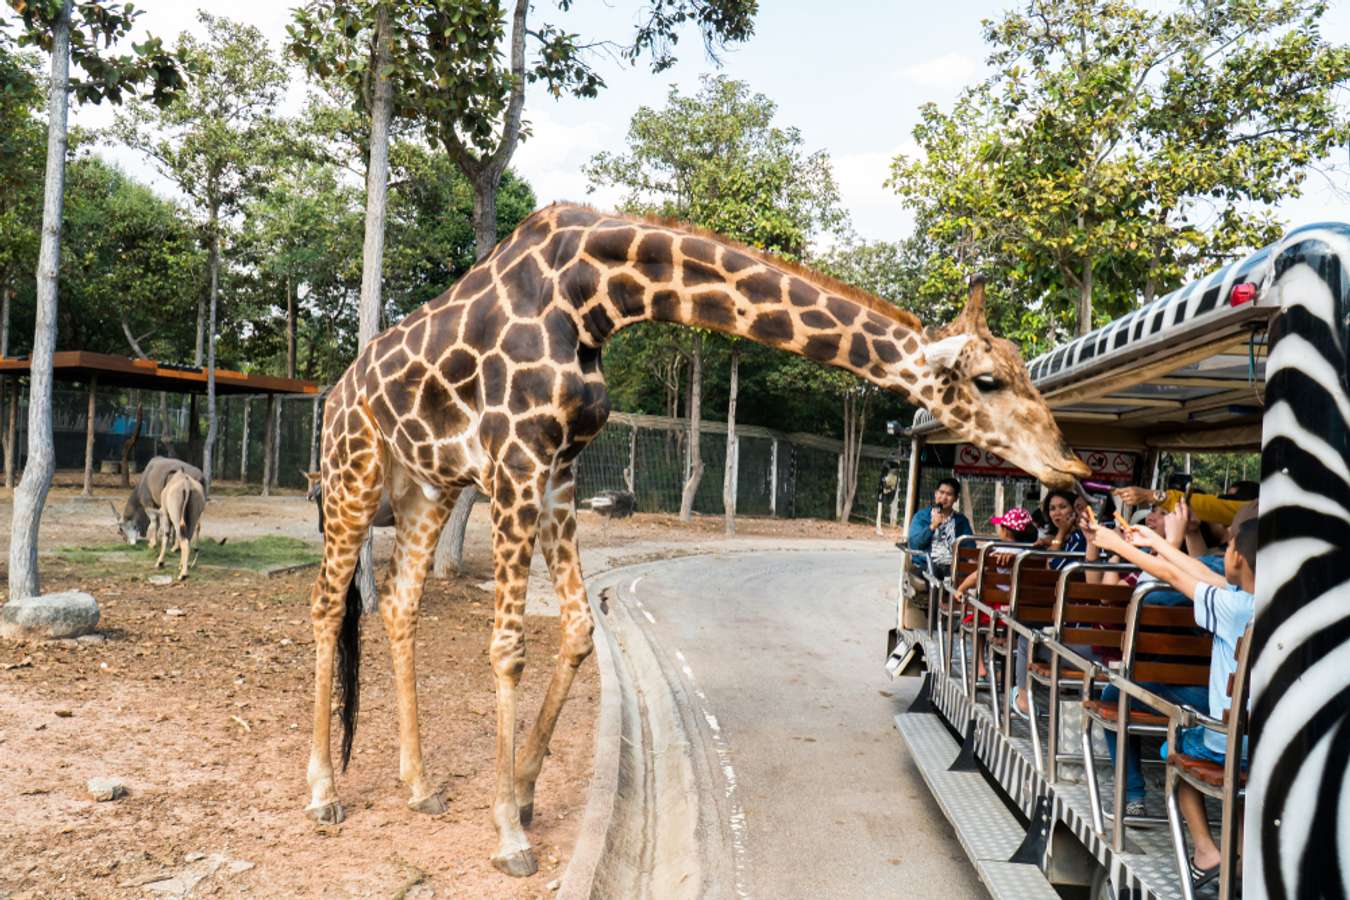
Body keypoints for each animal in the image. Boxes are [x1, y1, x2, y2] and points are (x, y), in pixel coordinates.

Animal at [301, 201, 1090, 874]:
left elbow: (579, 628)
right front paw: (509, 836)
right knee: (327, 606)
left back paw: (419, 787)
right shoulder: (517, 463)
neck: (593, 297)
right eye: (987, 380)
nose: (1072, 466)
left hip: (425, 488)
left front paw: (523, 794)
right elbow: (507, 646)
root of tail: (333, 394)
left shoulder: (557, 473)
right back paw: (323, 794)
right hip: (351, 476)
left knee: (398, 604)